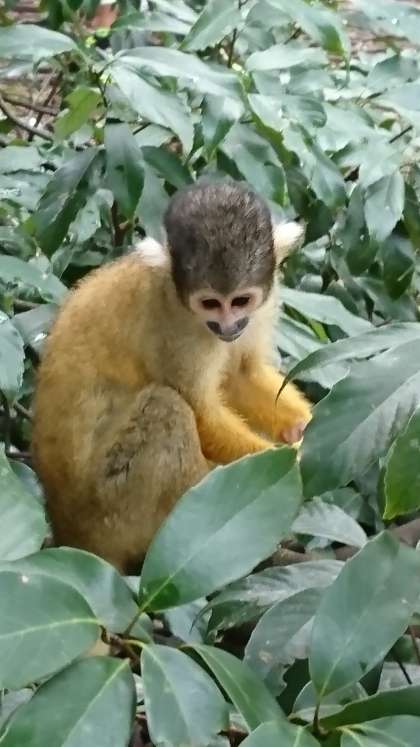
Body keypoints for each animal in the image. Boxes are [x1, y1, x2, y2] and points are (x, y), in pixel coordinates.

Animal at [31, 180, 311, 574]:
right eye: (210, 304)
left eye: (240, 301)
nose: (229, 327)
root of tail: (71, 535)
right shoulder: (174, 327)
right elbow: (202, 410)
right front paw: (290, 462)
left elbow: (239, 374)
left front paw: (301, 425)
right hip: (109, 509)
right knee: (166, 407)